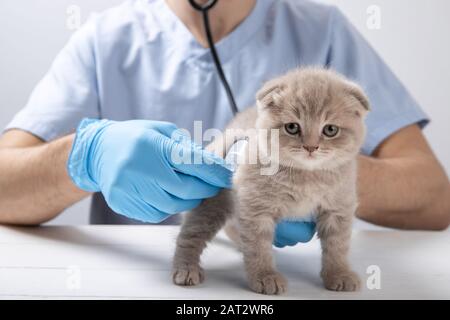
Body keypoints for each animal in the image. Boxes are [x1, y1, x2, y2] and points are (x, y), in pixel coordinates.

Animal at [172, 68, 370, 296]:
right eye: (292, 127)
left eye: (330, 130)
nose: (311, 147)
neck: (306, 176)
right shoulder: (256, 209)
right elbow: (258, 247)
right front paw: (265, 276)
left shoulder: (338, 209)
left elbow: (337, 246)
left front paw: (339, 274)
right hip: (212, 202)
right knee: (190, 235)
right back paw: (185, 268)